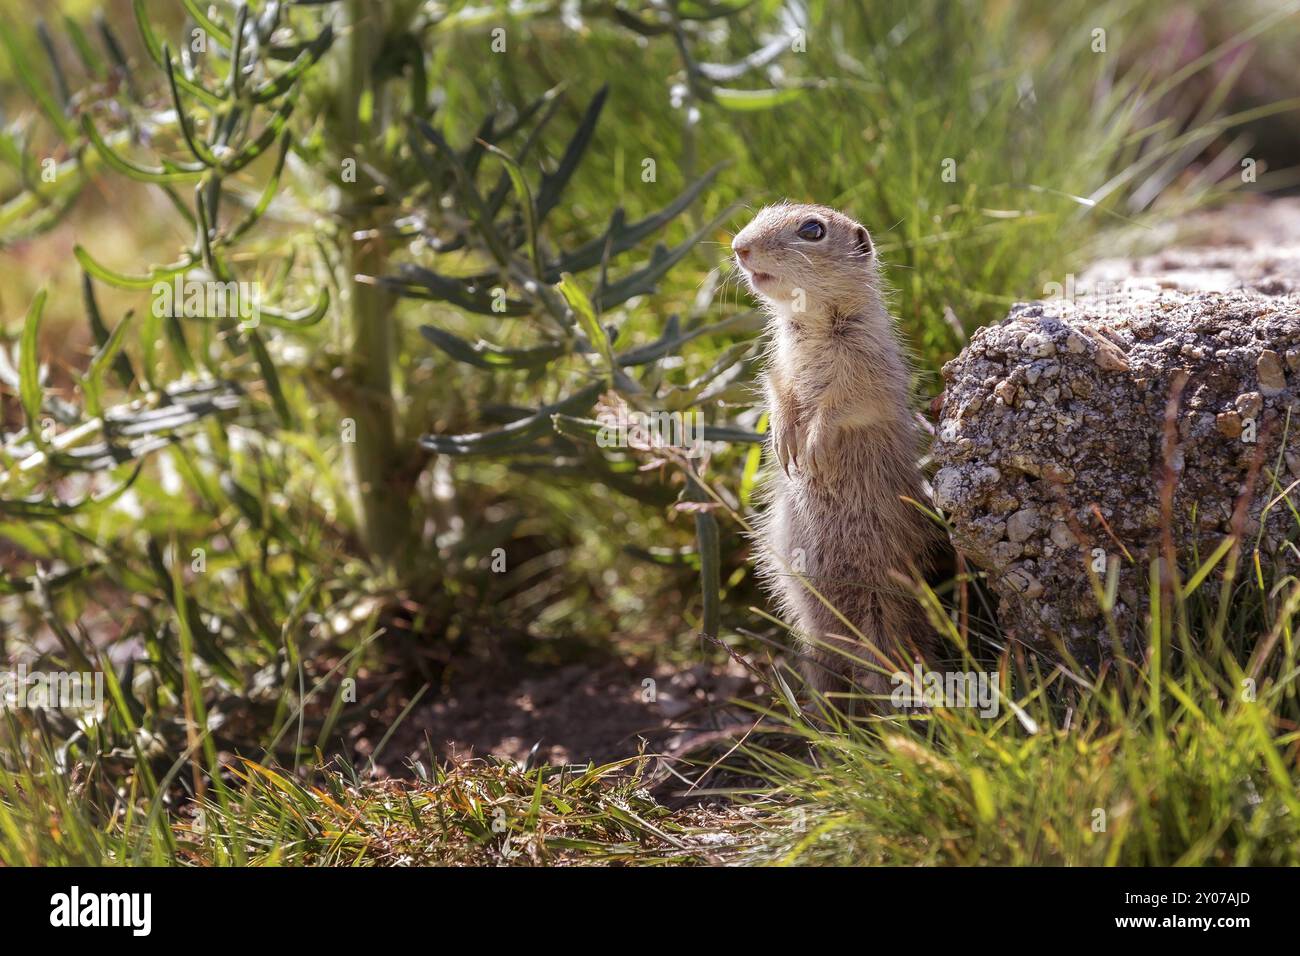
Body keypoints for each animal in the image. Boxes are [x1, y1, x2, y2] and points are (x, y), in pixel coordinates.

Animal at [731, 203, 945, 702]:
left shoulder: (865, 368)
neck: (810, 323)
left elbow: (840, 406)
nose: (739, 247)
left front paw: (811, 449)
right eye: (763, 212)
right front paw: (783, 441)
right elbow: (779, 394)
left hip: (883, 612)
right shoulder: (779, 369)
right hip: (810, 630)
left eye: (813, 230)